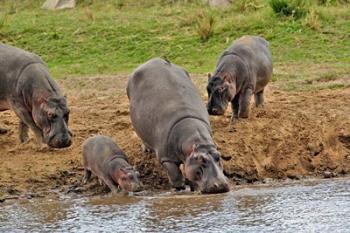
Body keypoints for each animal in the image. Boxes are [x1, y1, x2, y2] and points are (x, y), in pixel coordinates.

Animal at [127, 57, 231, 193]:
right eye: (201, 159)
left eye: (218, 157)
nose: (221, 185)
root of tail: (152, 60)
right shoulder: (166, 158)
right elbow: (175, 174)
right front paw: (179, 188)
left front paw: (193, 188)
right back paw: (146, 149)